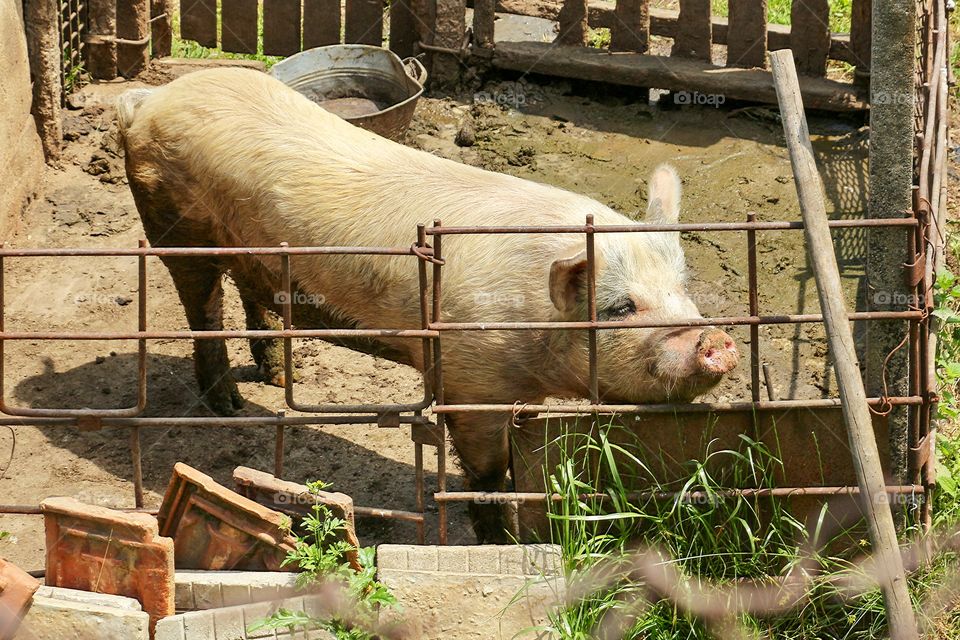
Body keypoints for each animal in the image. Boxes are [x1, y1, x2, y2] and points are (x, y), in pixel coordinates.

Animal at [116, 68, 738, 542]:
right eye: (619, 307)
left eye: (685, 291)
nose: (716, 340)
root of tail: (151, 96)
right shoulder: (470, 378)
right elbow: (487, 471)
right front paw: (502, 541)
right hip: (175, 227)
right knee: (203, 306)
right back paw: (229, 405)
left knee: (253, 292)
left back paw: (277, 380)